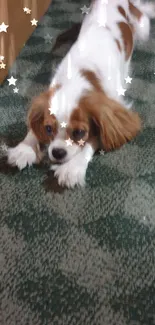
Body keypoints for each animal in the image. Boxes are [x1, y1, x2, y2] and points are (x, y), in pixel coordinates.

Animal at [7, 0, 155, 187]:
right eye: (48, 128)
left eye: (79, 133)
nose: (57, 152)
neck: (79, 76)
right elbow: (34, 127)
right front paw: (25, 148)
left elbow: (94, 139)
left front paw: (72, 168)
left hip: (143, 28)